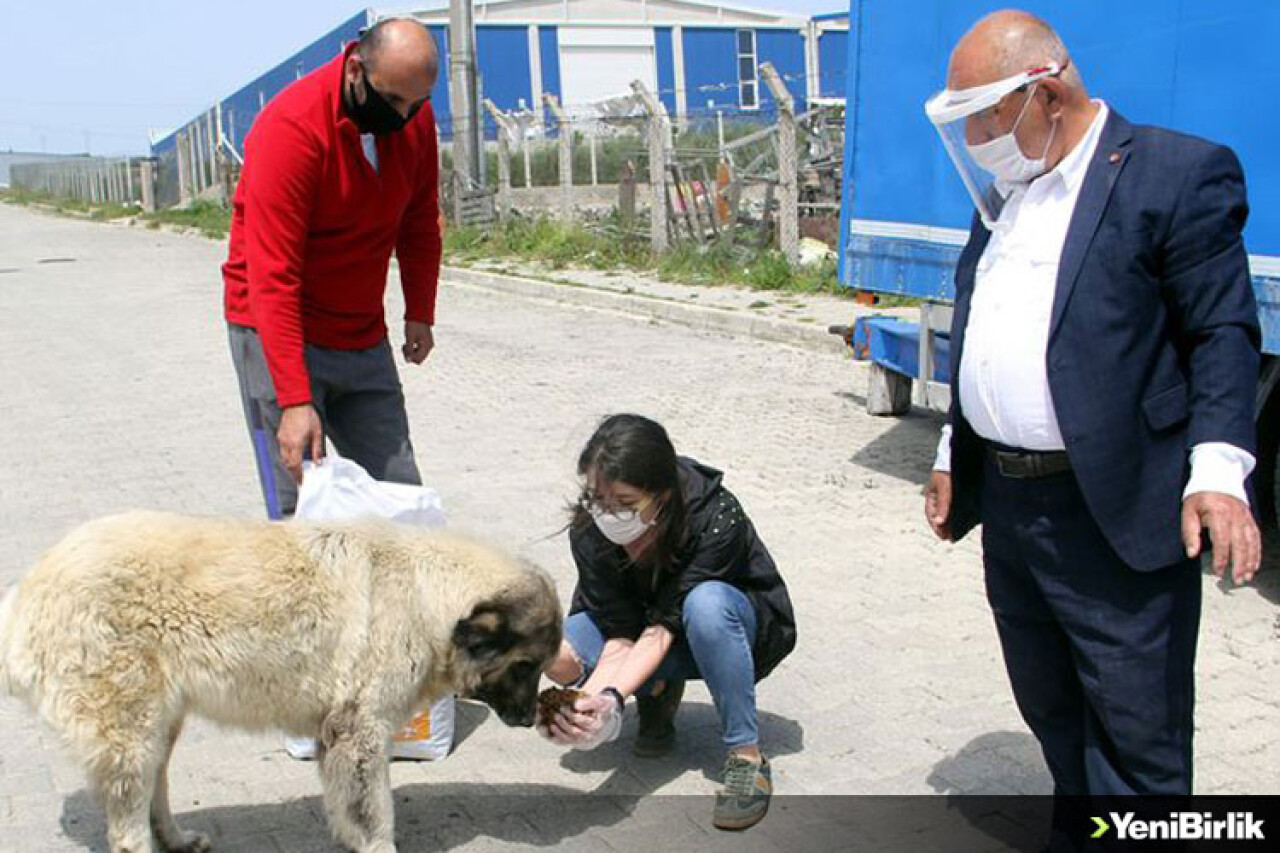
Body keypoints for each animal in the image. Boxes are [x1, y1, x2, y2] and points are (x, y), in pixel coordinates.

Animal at [0, 512, 560, 850]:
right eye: (526, 666)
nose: (530, 718)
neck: (425, 597)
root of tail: (28, 589)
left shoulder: (337, 736)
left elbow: (348, 806)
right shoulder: (361, 733)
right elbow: (375, 813)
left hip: (159, 723)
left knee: (155, 784)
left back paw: (176, 838)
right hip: (128, 731)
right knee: (127, 824)